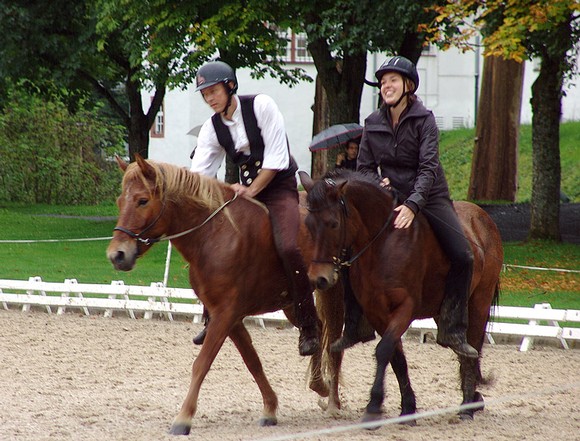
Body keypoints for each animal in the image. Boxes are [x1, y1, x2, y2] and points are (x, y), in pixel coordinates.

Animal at [105, 156, 344, 434]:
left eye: (142, 200)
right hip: (292, 303)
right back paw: (320, 385)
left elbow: (202, 363)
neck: (214, 235)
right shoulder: (231, 318)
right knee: (316, 327)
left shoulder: (225, 314)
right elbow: (252, 361)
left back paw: (333, 402)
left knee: (334, 343)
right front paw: (270, 408)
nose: (117, 255)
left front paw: (183, 418)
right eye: (120, 201)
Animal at [300, 168, 502, 422]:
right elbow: (396, 358)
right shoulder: (376, 312)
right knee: (460, 344)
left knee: (471, 349)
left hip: (479, 301)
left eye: (333, 224)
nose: (319, 278)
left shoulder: (405, 308)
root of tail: (482, 217)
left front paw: (373, 407)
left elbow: (383, 350)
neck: (385, 241)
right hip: (443, 309)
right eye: (308, 224)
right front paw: (408, 408)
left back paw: (467, 406)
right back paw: (473, 398)